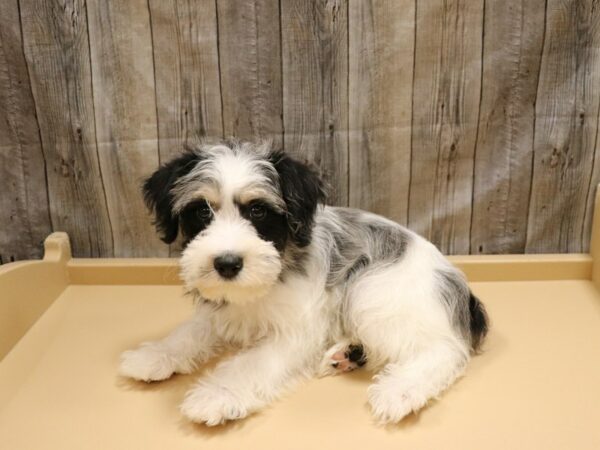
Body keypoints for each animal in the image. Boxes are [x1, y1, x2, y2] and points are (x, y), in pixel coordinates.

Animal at [118, 140, 488, 426]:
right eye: (202, 211)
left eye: (258, 211)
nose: (226, 263)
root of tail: (462, 290)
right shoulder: (222, 310)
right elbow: (190, 331)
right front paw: (156, 354)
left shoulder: (295, 332)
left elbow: (250, 364)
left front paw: (216, 394)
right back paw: (347, 354)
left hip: (371, 289)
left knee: (443, 350)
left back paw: (401, 390)